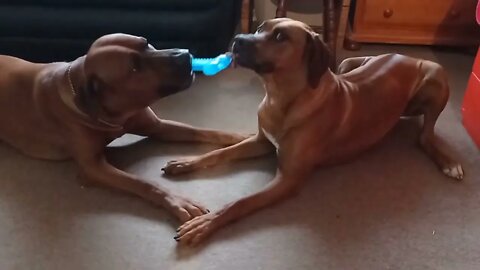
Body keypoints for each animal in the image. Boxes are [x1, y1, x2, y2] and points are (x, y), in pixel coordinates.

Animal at [0, 33, 248, 223]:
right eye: (135, 67)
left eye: (146, 43)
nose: (185, 54)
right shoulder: (93, 167)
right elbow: (143, 183)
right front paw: (178, 201)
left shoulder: (158, 126)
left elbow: (203, 131)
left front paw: (241, 137)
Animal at [163, 17, 464, 246]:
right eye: (259, 28)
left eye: (280, 36)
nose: (237, 39)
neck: (280, 98)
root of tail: (404, 55)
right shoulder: (262, 141)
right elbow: (220, 153)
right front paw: (187, 162)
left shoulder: (288, 179)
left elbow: (239, 202)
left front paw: (204, 224)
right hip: (347, 64)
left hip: (436, 75)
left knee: (425, 135)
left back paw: (449, 162)